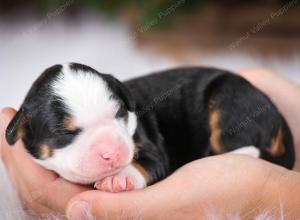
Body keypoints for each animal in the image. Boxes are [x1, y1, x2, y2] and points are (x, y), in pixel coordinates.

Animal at [5, 62, 296, 192]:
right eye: (65, 133)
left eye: (120, 114)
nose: (112, 153)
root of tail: (278, 116)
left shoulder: (152, 144)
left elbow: (147, 162)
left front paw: (120, 178)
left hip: (232, 104)